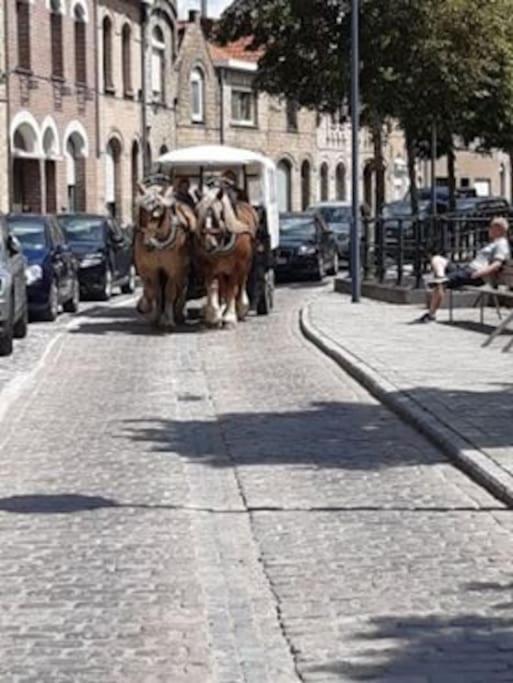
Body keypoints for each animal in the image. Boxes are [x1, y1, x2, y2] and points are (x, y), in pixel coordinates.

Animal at [136, 183, 196, 330]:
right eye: (141, 212)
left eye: (156, 215)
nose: (147, 245)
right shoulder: (151, 270)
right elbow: (156, 292)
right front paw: (154, 315)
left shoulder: (173, 270)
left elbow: (169, 292)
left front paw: (168, 320)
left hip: (183, 271)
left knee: (182, 288)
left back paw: (180, 312)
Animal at [196, 184, 260, 328]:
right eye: (199, 214)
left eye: (219, 215)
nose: (209, 245)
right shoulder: (208, 266)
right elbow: (213, 287)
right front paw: (214, 316)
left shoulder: (236, 266)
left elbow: (232, 289)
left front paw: (229, 317)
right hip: (222, 268)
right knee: (222, 286)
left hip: (246, 263)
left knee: (241, 283)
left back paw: (241, 308)